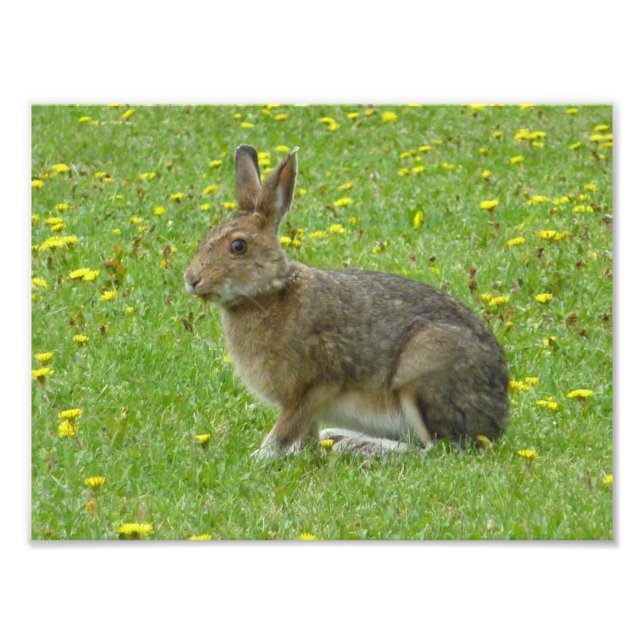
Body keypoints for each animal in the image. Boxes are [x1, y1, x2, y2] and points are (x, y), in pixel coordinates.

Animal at [184, 145, 509, 459]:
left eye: (238, 246)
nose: (191, 279)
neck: (268, 292)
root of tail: (498, 417)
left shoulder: (313, 389)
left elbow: (285, 431)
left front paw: (259, 457)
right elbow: (305, 434)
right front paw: (302, 454)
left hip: (421, 375)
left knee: (436, 449)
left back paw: (360, 447)